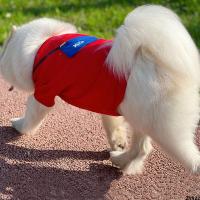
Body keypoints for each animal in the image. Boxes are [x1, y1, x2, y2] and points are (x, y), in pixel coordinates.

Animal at [0, 4, 200, 173]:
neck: (41, 47)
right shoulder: (109, 103)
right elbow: (113, 126)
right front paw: (118, 143)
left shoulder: (44, 92)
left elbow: (31, 116)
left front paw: (18, 125)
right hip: (140, 117)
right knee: (141, 148)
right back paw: (120, 159)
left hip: (163, 128)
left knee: (179, 152)